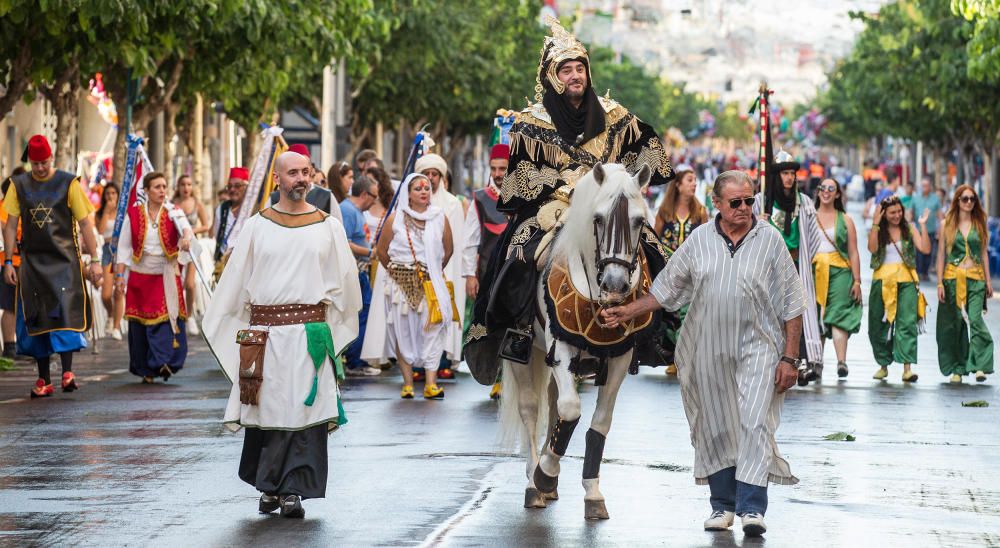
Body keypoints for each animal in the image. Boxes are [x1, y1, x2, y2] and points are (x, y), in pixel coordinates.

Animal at [498, 162, 652, 520]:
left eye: (639, 220)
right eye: (598, 218)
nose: (615, 285)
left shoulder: (620, 357)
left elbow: (598, 423)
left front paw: (592, 492)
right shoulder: (562, 345)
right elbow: (569, 411)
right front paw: (544, 474)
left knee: (553, 402)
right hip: (524, 354)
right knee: (531, 409)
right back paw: (534, 482)